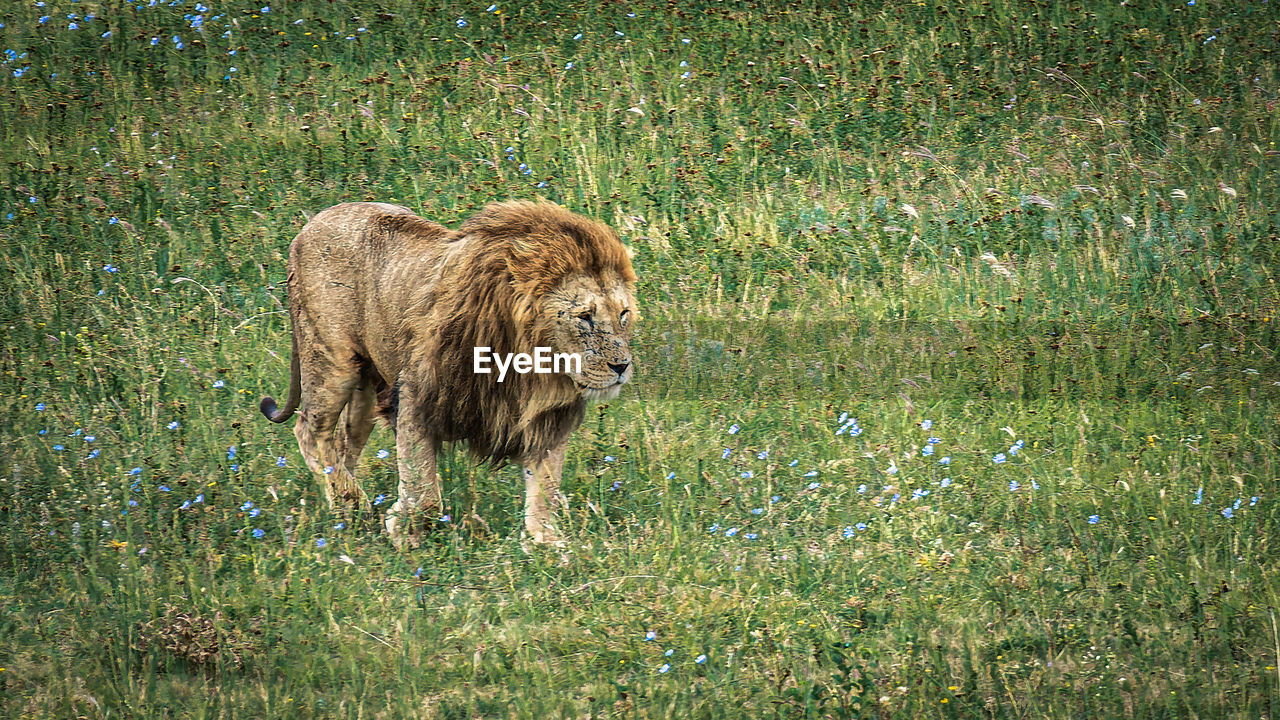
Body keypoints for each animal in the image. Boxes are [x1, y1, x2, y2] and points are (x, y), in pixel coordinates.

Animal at [259, 198, 640, 545]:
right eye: (585, 317)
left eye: (623, 314)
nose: (621, 366)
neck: (532, 367)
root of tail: (311, 224)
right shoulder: (417, 396)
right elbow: (423, 487)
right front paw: (407, 532)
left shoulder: (549, 418)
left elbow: (544, 486)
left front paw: (545, 543)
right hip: (330, 362)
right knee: (312, 430)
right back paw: (349, 500)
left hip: (366, 387)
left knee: (343, 442)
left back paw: (346, 507)